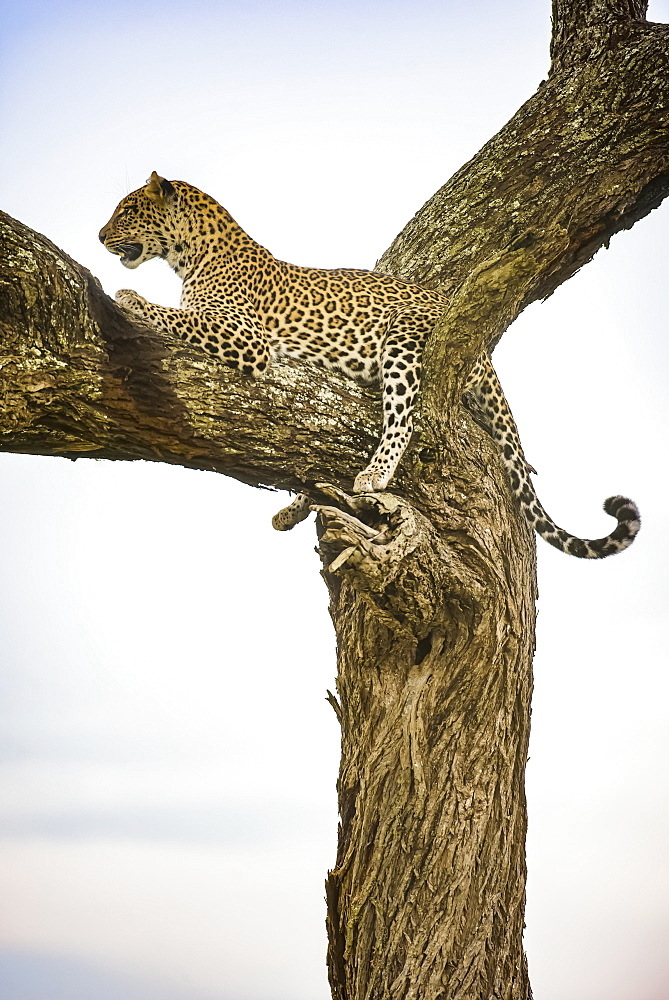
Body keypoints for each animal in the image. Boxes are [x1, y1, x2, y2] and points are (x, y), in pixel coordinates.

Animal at [98, 175, 636, 560]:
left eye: (126, 210)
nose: (100, 235)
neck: (190, 253)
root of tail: (483, 353)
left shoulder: (245, 337)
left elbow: (176, 315)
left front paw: (129, 297)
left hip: (403, 340)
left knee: (404, 419)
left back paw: (372, 475)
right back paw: (295, 507)